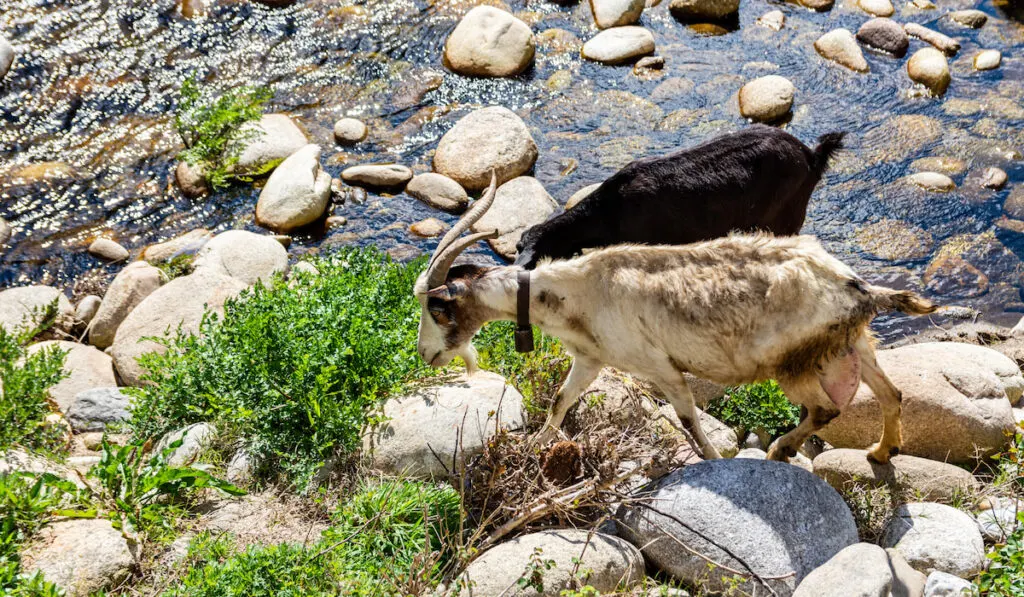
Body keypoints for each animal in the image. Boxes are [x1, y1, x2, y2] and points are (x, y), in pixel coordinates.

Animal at [413, 175, 937, 464]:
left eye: (437, 307)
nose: (426, 354)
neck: (575, 291)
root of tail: (858, 288)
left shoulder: (659, 365)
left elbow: (686, 416)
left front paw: (713, 459)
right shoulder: (590, 358)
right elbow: (562, 400)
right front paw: (537, 445)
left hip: (794, 361)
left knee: (824, 409)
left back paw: (780, 450)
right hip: (853, 344)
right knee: (891, 393)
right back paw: (882, 452)